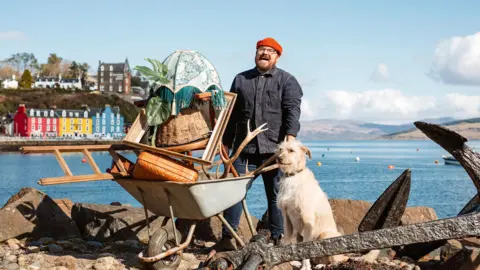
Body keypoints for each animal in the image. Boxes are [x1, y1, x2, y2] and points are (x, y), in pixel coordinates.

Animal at [276, 140, 346, 268]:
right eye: (280, 149)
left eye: (291, 150)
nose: (279, 158)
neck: (293, 176)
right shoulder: (286, 217)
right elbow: (287, 241)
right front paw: (287, 262)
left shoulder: (307, 219)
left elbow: (305, 248)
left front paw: (305, 267)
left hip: (325, 235)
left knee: (341, 258)